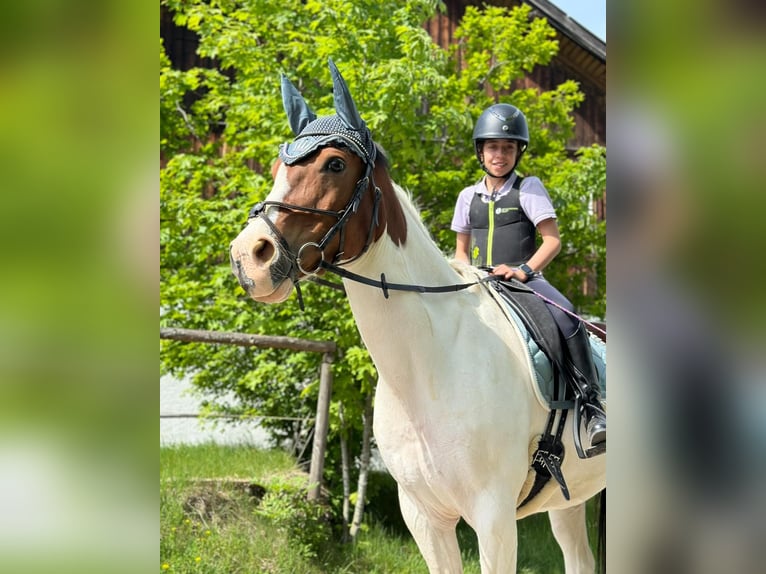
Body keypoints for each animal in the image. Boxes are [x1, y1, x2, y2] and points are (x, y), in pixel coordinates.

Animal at [230, 60, 605, 574]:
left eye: (335, 164)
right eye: (276, 168)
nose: (249, 257)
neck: (429, 363)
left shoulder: (493, 519)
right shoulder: (425, 518)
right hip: (570, 502)